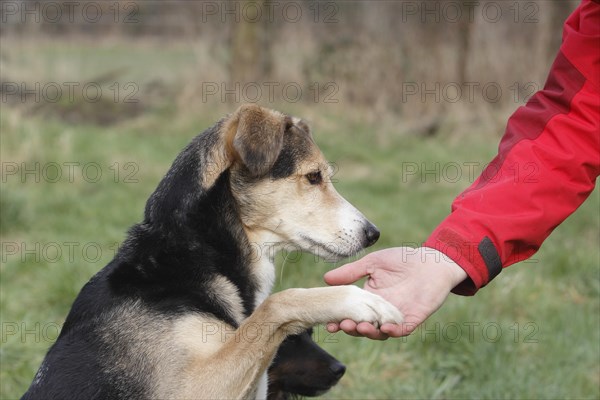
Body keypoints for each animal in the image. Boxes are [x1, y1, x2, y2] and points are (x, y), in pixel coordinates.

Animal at [22, 104, 404, 398]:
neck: (195, 253)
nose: (373, 234)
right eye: (313, 177)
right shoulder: (193, 388)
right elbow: (276, 304)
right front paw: (357, 300)